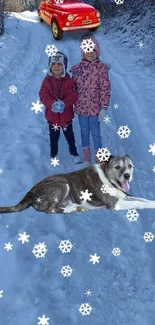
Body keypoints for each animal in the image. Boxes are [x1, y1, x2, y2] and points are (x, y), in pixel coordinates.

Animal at [0, 154, 155, 213]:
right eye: (117, 167)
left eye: (130, 166)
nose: (127, 175)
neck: (108, 177)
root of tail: (30, 192)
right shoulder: (116, 204)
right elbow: (138, 203)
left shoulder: (125, 196)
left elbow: (142, 199)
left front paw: (151, 202)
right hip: (62, 184)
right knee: (51, 210)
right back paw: (75, 208)